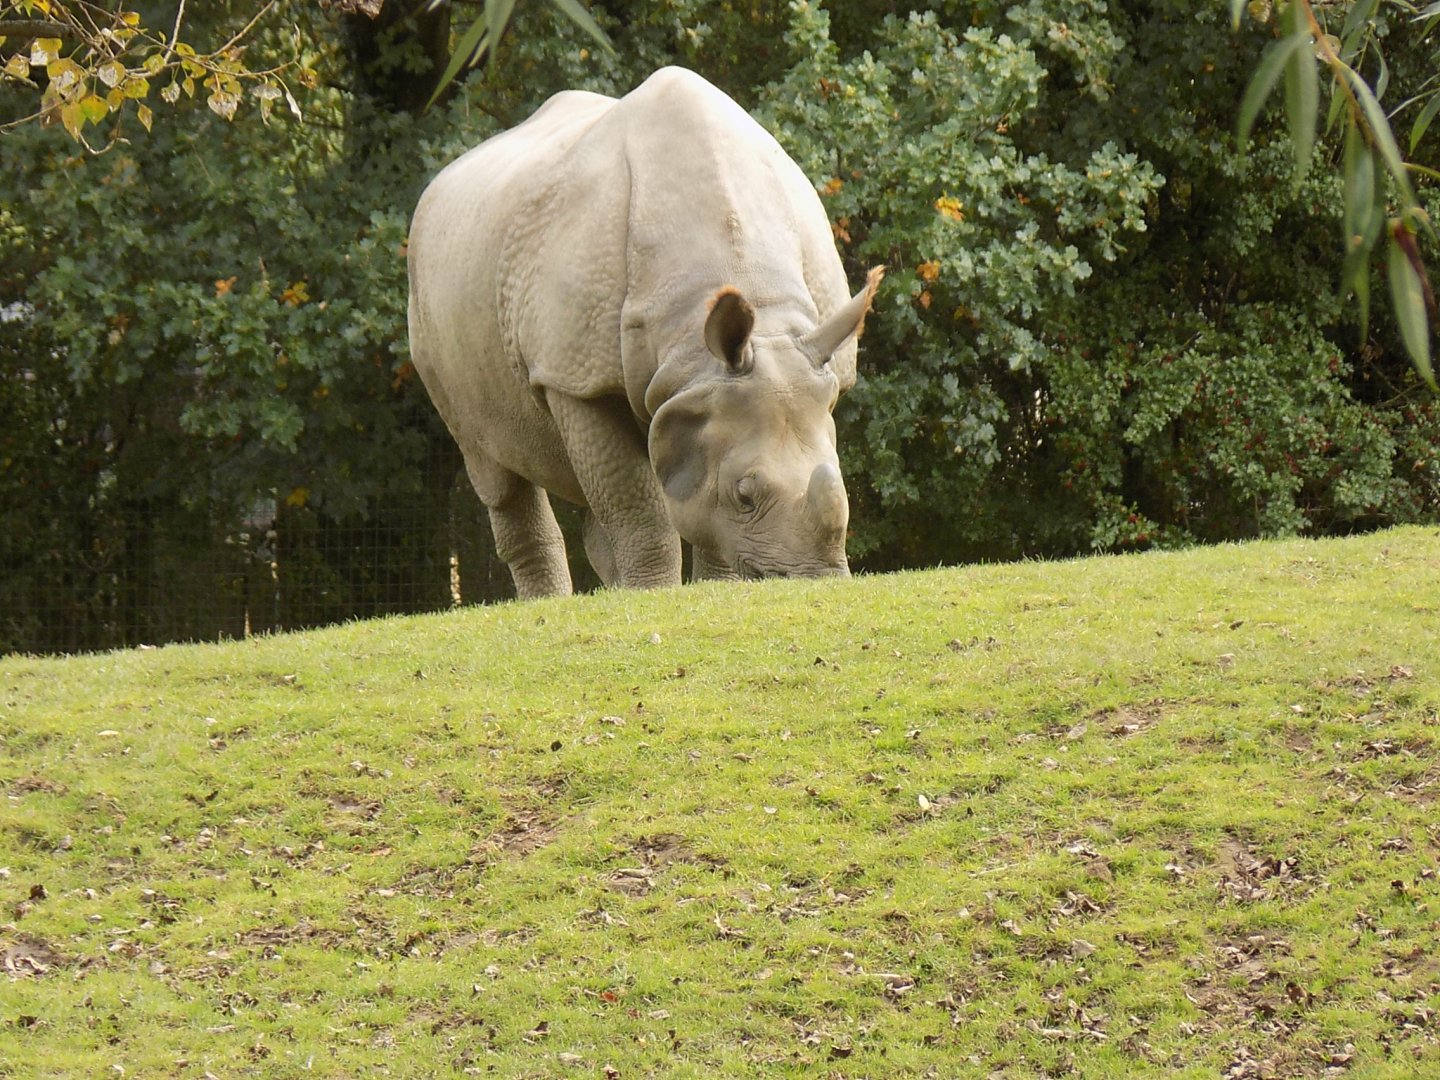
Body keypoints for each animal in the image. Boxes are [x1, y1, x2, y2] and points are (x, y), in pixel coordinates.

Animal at [407, 66, 881, 597]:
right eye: (744, 494)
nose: (818, 582)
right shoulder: (575, 375)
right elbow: (638, 504)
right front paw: (653, 592)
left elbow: (692, 507)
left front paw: (707, 589)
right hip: (428, 303)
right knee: (494, 469)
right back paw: (549, 600)